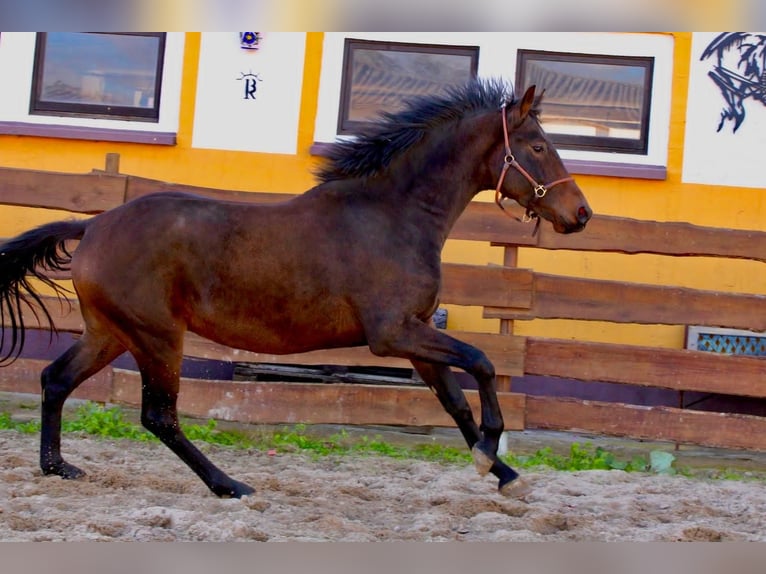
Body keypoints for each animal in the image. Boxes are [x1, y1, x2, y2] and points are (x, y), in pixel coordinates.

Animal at [0, 78, 591, 498]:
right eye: (539, 146)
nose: (580, 214)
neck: (392, 215)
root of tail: (94, 226)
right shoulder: (393, 334)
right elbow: (484, 363)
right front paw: (491, 453)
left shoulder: (417, 337)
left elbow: (455, 404)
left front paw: (503, 472)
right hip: (157, 336)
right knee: (158, 416)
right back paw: (231, 486)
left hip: (111, 333)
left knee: (55, 379)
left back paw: (58, 468)